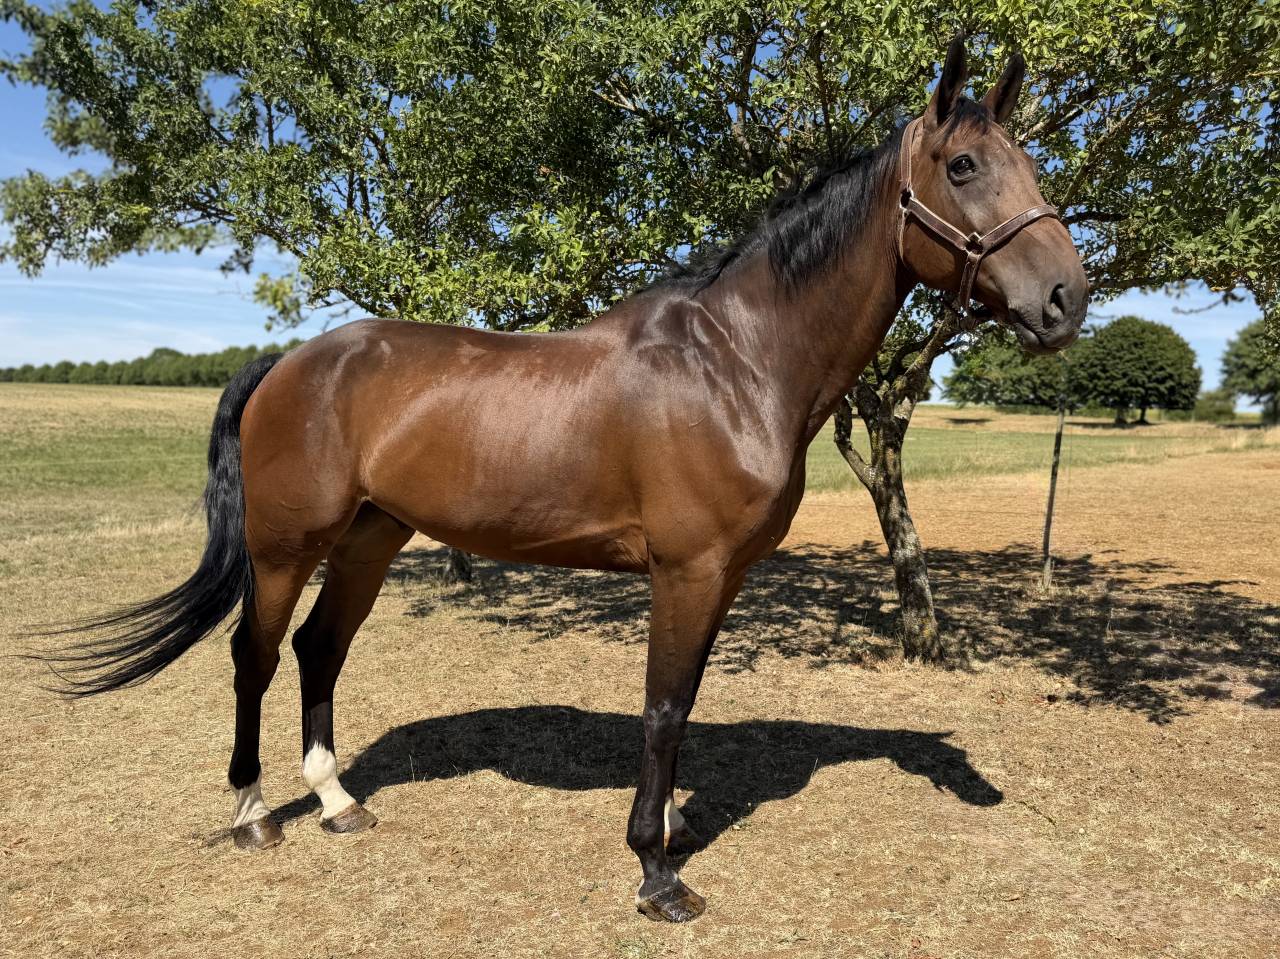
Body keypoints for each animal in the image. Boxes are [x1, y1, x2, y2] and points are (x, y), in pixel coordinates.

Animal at [44, 40, 1087, 922]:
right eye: (964, 167)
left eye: (1030, 162)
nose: (1066, 299)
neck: (737, 360)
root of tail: (289, 364)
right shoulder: (687, 570)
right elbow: (663, 712)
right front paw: (657, 874)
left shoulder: (722, 576)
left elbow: (684, 704)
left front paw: (671, 831)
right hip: (286, 545)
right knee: (254, 656)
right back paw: (254, 814)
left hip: (374, 535)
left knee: (319, 649)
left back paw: (338, 800)